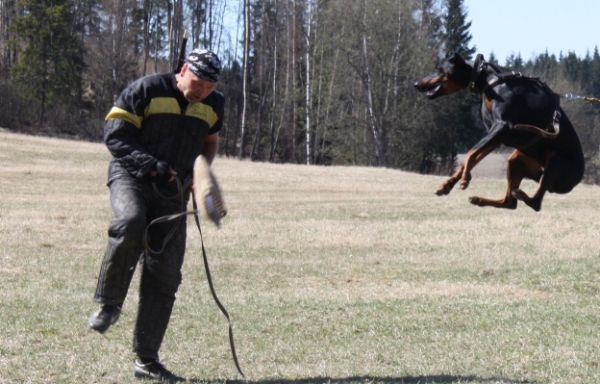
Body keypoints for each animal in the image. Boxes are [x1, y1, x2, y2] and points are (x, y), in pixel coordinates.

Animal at [414, 53, 584, 212]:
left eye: (438, 68)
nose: (415, 84)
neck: (487, 79)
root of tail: (576, 181)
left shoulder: (502, 126)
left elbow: (470, 153)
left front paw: (465, 179)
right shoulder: (497, 135)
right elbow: (473, 156)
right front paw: (447, 184)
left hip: (555, 162)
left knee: (535, 203)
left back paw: (521, 195)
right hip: (516, 161)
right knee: (510, 203)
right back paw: (480, 200)